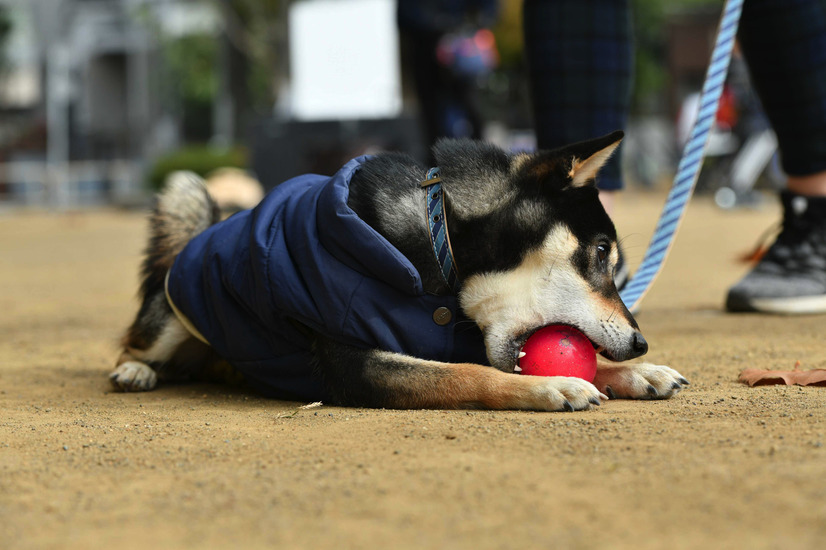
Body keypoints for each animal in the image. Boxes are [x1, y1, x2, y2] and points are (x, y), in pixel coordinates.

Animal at [111, 132, 688, 412]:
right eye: (599, 251)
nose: (640, 342)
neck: (437, 241)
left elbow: (486, 363)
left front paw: (638, 374)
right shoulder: (355, 363)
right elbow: (469, 374)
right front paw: (553, 388)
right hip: (173, 310)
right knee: (132, 342)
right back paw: (134, 370)